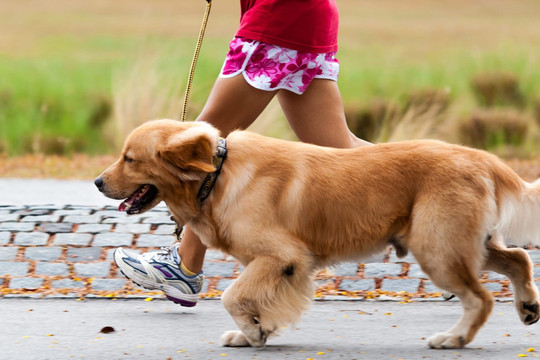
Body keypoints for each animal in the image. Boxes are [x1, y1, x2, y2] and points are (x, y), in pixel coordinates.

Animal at [96, 120, 540, 348]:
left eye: (129, 158)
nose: (98, 182)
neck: (217, 175)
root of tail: (480, 157)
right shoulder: (284, 267)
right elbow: (260, 299)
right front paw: (259, 330)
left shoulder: (283, 257)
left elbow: (232, 296)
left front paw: (253, 331)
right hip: (461, 244)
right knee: (518, 259)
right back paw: (527, 307)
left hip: (437, 248)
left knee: (481, 299)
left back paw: (454, 338)